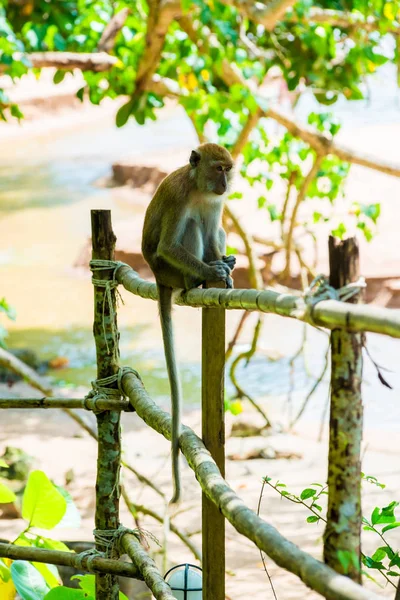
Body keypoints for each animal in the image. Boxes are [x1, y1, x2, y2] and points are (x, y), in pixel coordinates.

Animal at [141, 143, 236, 504]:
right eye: (218, 168)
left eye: (228, 169)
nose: (225, 184)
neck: (199, 188)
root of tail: (157, 277)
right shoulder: (180, 196)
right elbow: (170, 244)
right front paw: (211, 270)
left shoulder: (215, 202)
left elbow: (212, 229)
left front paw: (221, 266)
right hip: (167, 268)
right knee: (191, 228)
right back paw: (195, 281)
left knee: (210, 229)